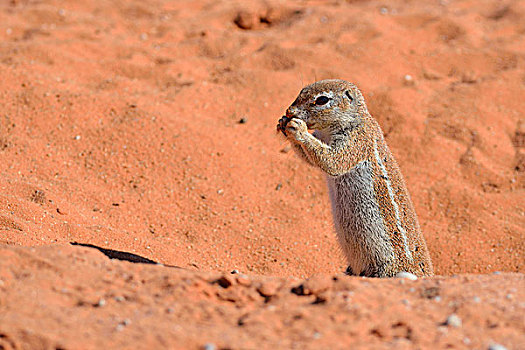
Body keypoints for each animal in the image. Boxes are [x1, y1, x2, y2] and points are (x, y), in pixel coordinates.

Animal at [276, 80, 432, 278]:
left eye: (322, 100)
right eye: (302, 90)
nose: (290, 111)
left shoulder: (356, 140)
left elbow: (332, 161)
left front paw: (299, 129)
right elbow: (310, 159)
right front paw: (283, 122)